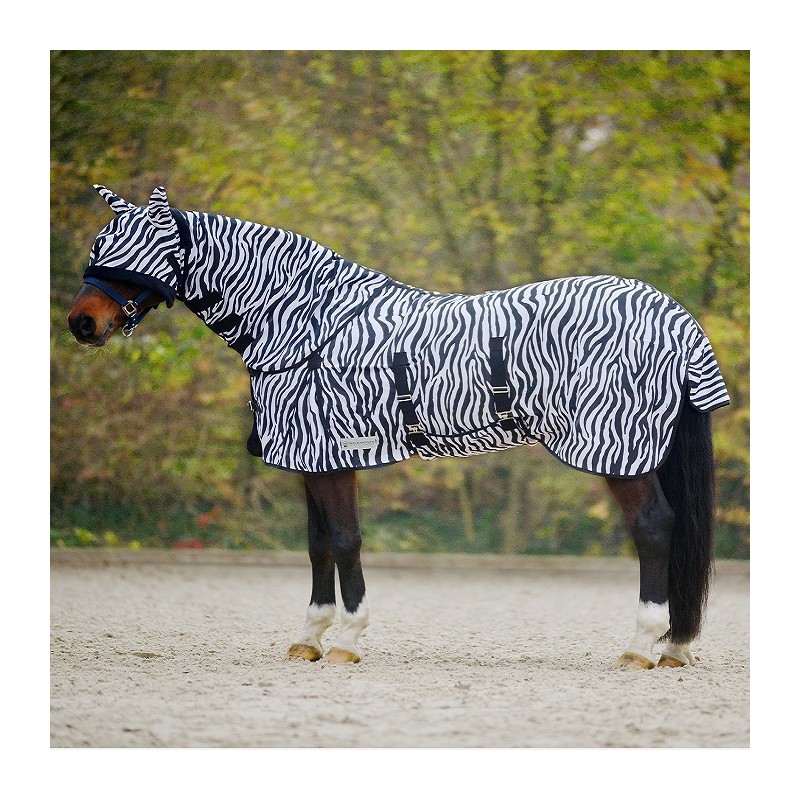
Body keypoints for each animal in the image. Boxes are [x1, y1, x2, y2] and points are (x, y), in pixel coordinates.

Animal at [68, 185, 730, 669]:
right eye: (101, 243)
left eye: (132, 254)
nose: (81, 323)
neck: (308, 321)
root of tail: (674, 317)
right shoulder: (312, 459)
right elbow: (317, 544)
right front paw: (309, 638)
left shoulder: (334, 455)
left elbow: (344, 540)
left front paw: (346, 641)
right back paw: (672, 647)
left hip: (621, 450)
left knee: (654, 528)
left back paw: (642, 646)